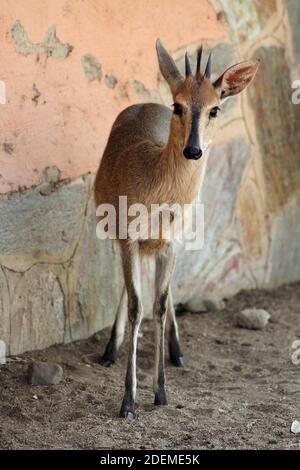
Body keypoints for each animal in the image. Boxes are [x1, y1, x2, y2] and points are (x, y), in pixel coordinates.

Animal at [95, 40, 258, 418]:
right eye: (178, 105)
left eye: (215, 109)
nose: (193, 149)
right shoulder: (128, 237)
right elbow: (137, 306)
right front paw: (128, 402)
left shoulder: (171, 243)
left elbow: (159, 303)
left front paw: (161, 392)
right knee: (132, 290)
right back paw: (109, 351)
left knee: (163, 294)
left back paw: (178, 351)